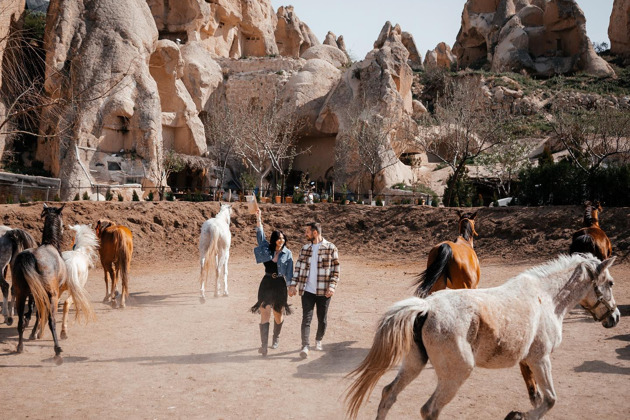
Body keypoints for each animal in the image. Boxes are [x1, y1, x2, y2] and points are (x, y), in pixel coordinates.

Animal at [350, 253, 624, 420]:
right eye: (610, 283)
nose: (615, 317)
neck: (547, 298)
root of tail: (427, 308)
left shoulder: (527, 362)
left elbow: (537, 397)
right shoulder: (540, 359)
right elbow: (550, 400)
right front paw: (516, 416)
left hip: (414, 364)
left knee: (389, 394)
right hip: (457, 373)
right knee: (429, 410)